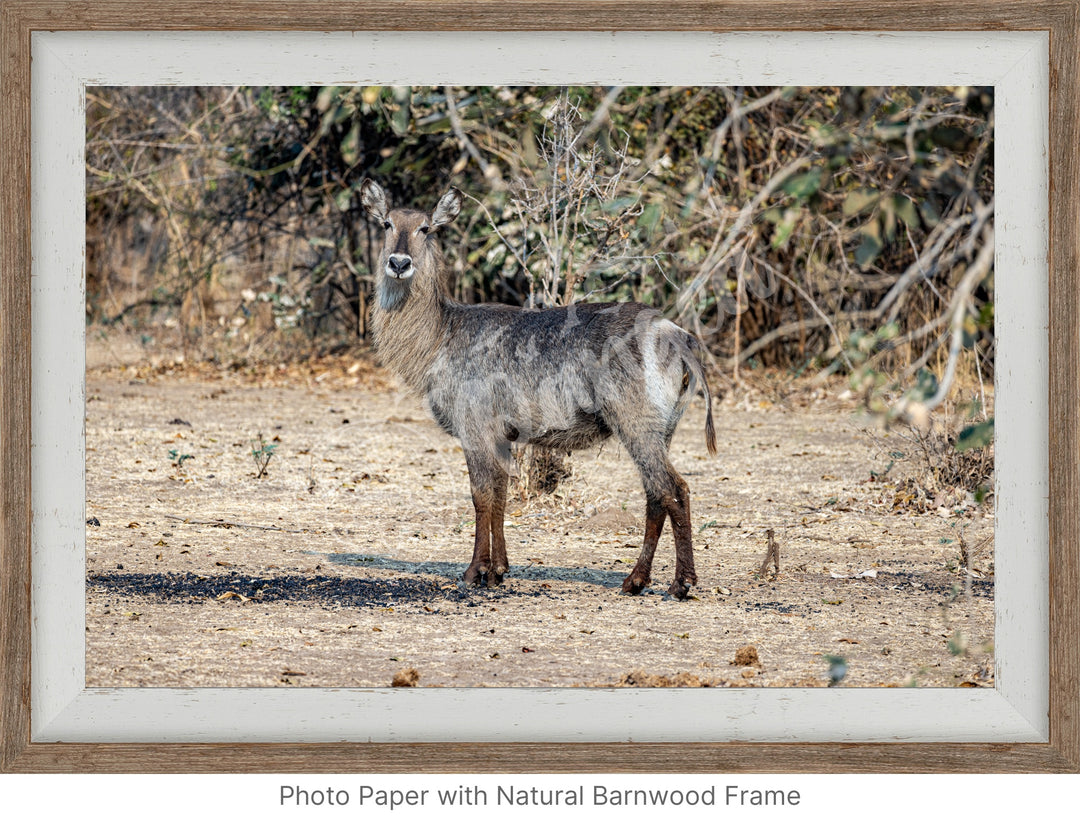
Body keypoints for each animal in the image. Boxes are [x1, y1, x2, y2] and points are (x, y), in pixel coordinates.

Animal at [360, 178, 717, 600]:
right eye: (386, 223)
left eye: (425, 228)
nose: (399, 263)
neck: (441, 335)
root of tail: (676, 334)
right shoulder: (502, 434)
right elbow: (501, 494)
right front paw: (498, 570)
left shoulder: (474, 427)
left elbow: (481, 495)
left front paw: (474, 572)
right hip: (663, 429)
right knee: (655, 495)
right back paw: (635, 580)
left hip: (636, 423)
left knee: (675, 489)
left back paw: (681, 583)